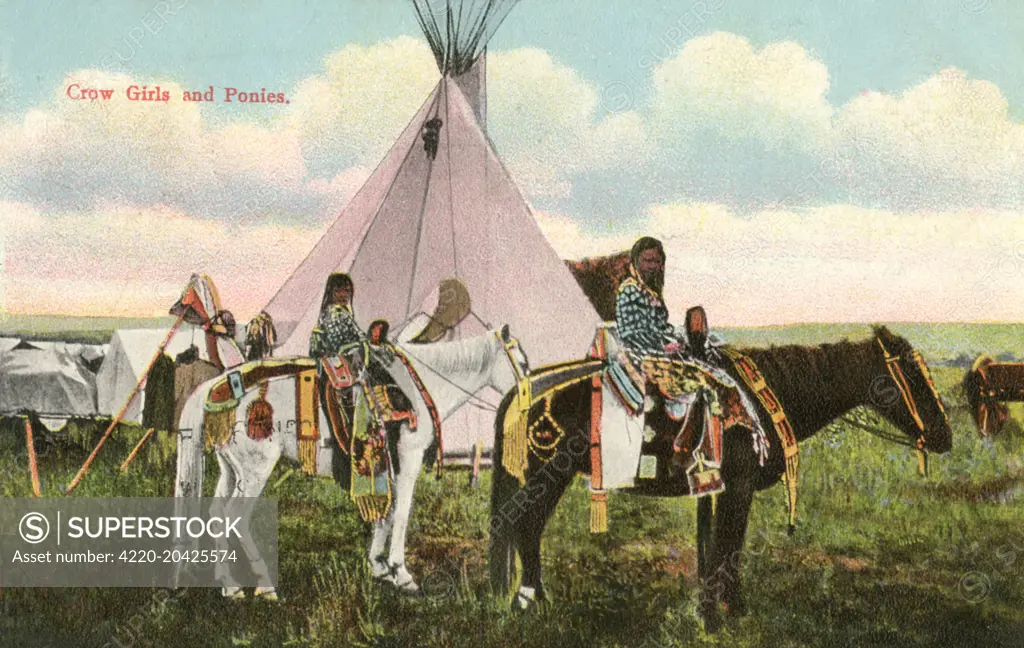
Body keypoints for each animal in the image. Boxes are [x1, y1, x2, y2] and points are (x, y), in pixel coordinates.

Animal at [174, 325, 528, 597]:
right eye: (522, 362)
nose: (527, 399)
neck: (416, 386)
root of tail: (214, 387)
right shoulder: (409, 459)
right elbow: (401, 513)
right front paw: (401, 573)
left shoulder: (387, 465)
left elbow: (386, 514)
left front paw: (379, 567)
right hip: (256, 469)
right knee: (234, 516)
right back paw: (265, 586)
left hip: (231, 470)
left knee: (217, 513)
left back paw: (230, 586)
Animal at [487, 325, 950, 630]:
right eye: (911, 376)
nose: (945, 436)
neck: (762, 400)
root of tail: (522, 390)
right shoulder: (737, 490)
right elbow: (728, 546)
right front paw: (718, 615)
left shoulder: (719, 491)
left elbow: (720, 550)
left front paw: (720, 608)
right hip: (546, 473)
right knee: (522, 525)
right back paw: (527, 601)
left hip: (552, 476)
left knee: (527, 528)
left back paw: (536, 598)